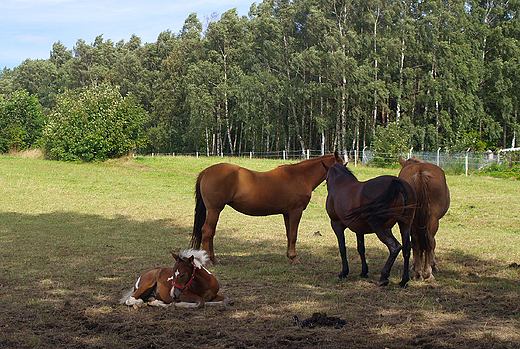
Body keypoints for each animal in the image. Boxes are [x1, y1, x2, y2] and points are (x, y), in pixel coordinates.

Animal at [191, 152, 346, 264]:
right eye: (341, 167)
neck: (301, 176)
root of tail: (206, 171)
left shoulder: (287, 213)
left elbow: (289, 234)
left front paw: (289, 256)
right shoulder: (296, 212)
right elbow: (294, 235)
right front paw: (295, 259)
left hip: (215, 211)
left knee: (211, 232)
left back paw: (214, 259)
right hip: (214, 210)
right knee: (207, 231)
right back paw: (208, 261)